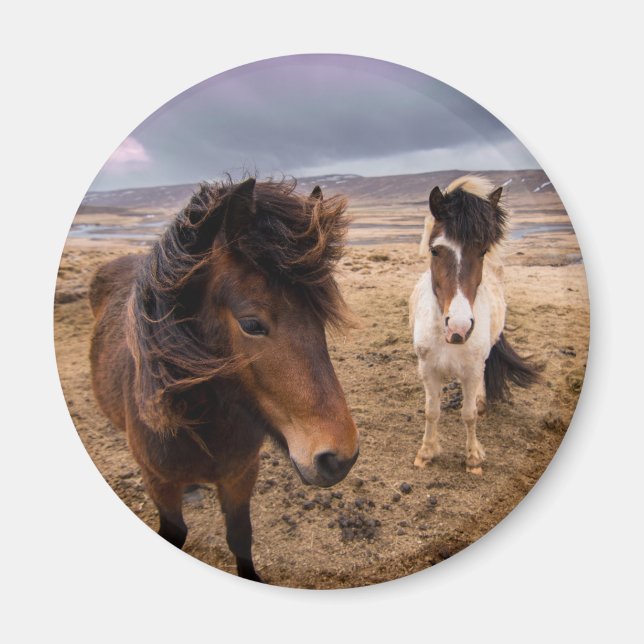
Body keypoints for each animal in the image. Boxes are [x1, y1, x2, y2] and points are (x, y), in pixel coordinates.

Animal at [89, 177, 360, 582]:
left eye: (319, 316)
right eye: (250, 323)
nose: (340, 457)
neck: (202, 424)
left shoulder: (240, 475)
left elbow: (240, 537)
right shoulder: (158, 483)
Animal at [409, 176, 539, 475]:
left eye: (481, 251)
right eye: (435, 250)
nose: (458, 328)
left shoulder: (470, 371)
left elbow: (468, 415)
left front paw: (473, 459)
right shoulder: (428, 369)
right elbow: (431, 411)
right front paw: (426, 453)